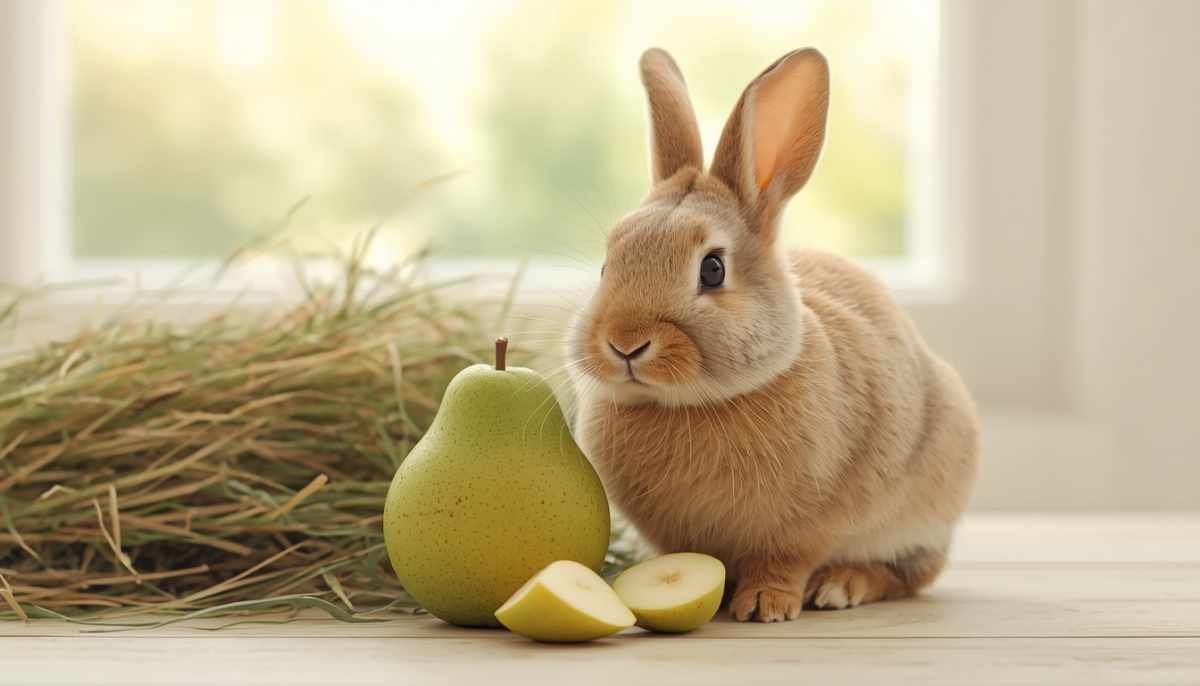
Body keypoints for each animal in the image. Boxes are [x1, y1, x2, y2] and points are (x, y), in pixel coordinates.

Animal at [567, 48, 978, 622]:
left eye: (712, 269)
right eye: (608, 265)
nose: (625, 343)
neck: (694, 404)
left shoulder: (807, 526)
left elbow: (785, 559)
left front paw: (765, 605)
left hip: (920, 512)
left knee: (910, 574)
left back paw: (840, 586)